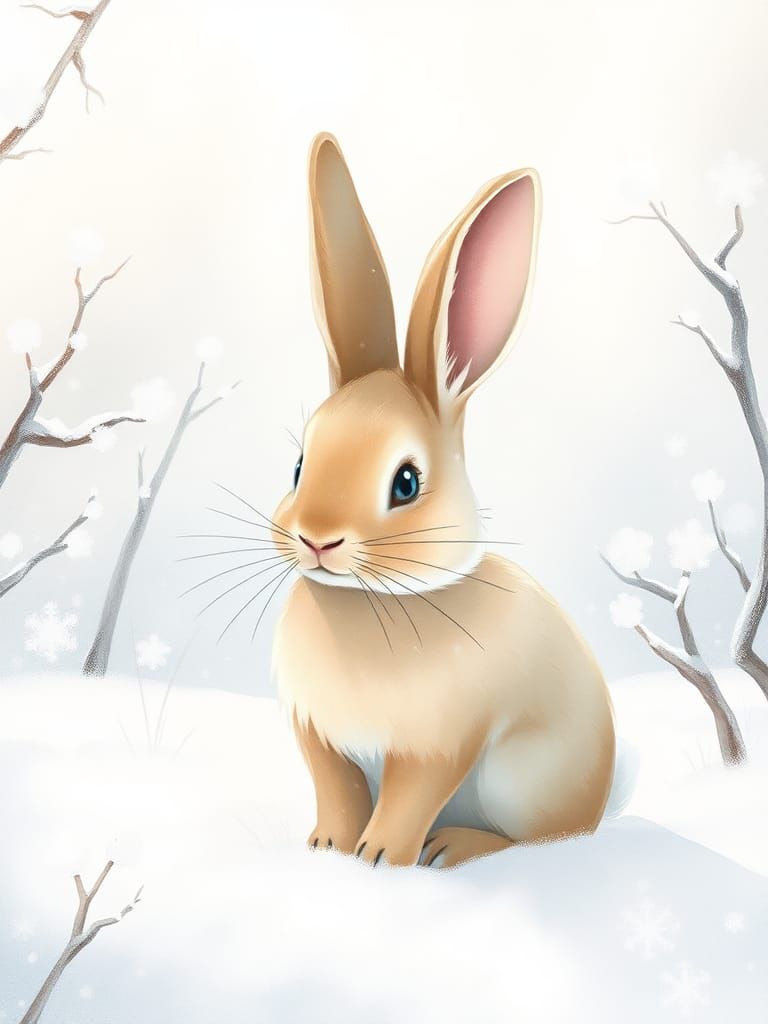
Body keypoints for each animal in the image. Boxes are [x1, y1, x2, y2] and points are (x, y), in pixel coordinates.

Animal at [271, 132, 615, 868]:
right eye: (299, 465)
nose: (317, 538)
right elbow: (337, 789)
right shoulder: (318, 735)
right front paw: (327, 846)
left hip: (525, 781)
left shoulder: (438, 744)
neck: (366, 599)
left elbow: (409, 798)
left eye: (405, 483)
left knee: (539, 837)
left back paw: (453, 847)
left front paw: (380, 858)